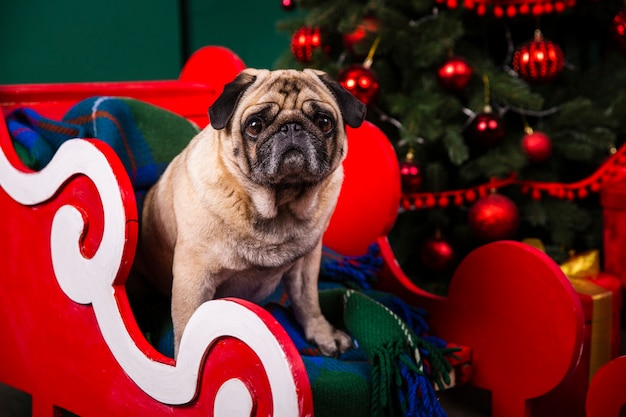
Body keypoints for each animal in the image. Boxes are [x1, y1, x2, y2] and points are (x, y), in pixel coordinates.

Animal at [134, 68, 364, 358]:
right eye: (254, 125)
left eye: (324, 122)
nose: (292, 126)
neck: (279, 205)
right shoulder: (193, 277)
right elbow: (188, 327)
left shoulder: (306, 265)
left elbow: (308, 301)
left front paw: (322, 333)